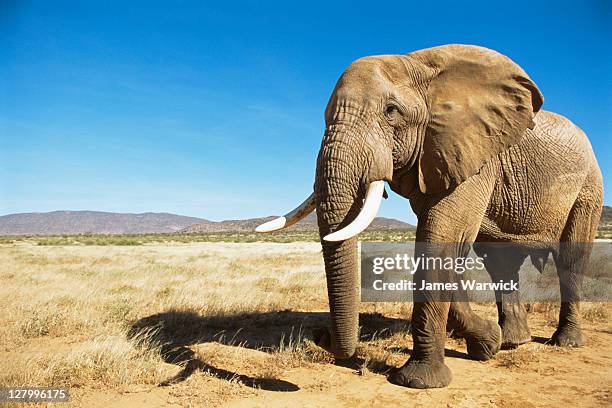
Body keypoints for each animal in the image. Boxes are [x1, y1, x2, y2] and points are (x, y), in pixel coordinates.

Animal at [252, 44, 604, 388]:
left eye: (391, 111)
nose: (320, 336)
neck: (417, 64)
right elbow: (444, 244)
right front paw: (487, 344)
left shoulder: (472, 154)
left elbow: (442, 237)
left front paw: (419, 381)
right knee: (499, 261)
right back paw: (512, 342)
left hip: (589, 186)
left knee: (571, 258)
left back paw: (565, 342)